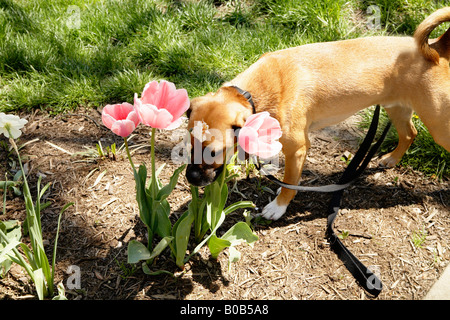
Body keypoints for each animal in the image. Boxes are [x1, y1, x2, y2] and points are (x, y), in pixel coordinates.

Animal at [185, 8, 450, 222]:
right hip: (396, 108)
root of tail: (435, 48)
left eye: (213, 152)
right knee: (410, 134)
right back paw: (392, 159)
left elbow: (289, 184)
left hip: (439, 126)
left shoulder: (297, 149)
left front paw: (278, 207)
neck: (252, 94)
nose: (191, 177)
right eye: (189, 143)